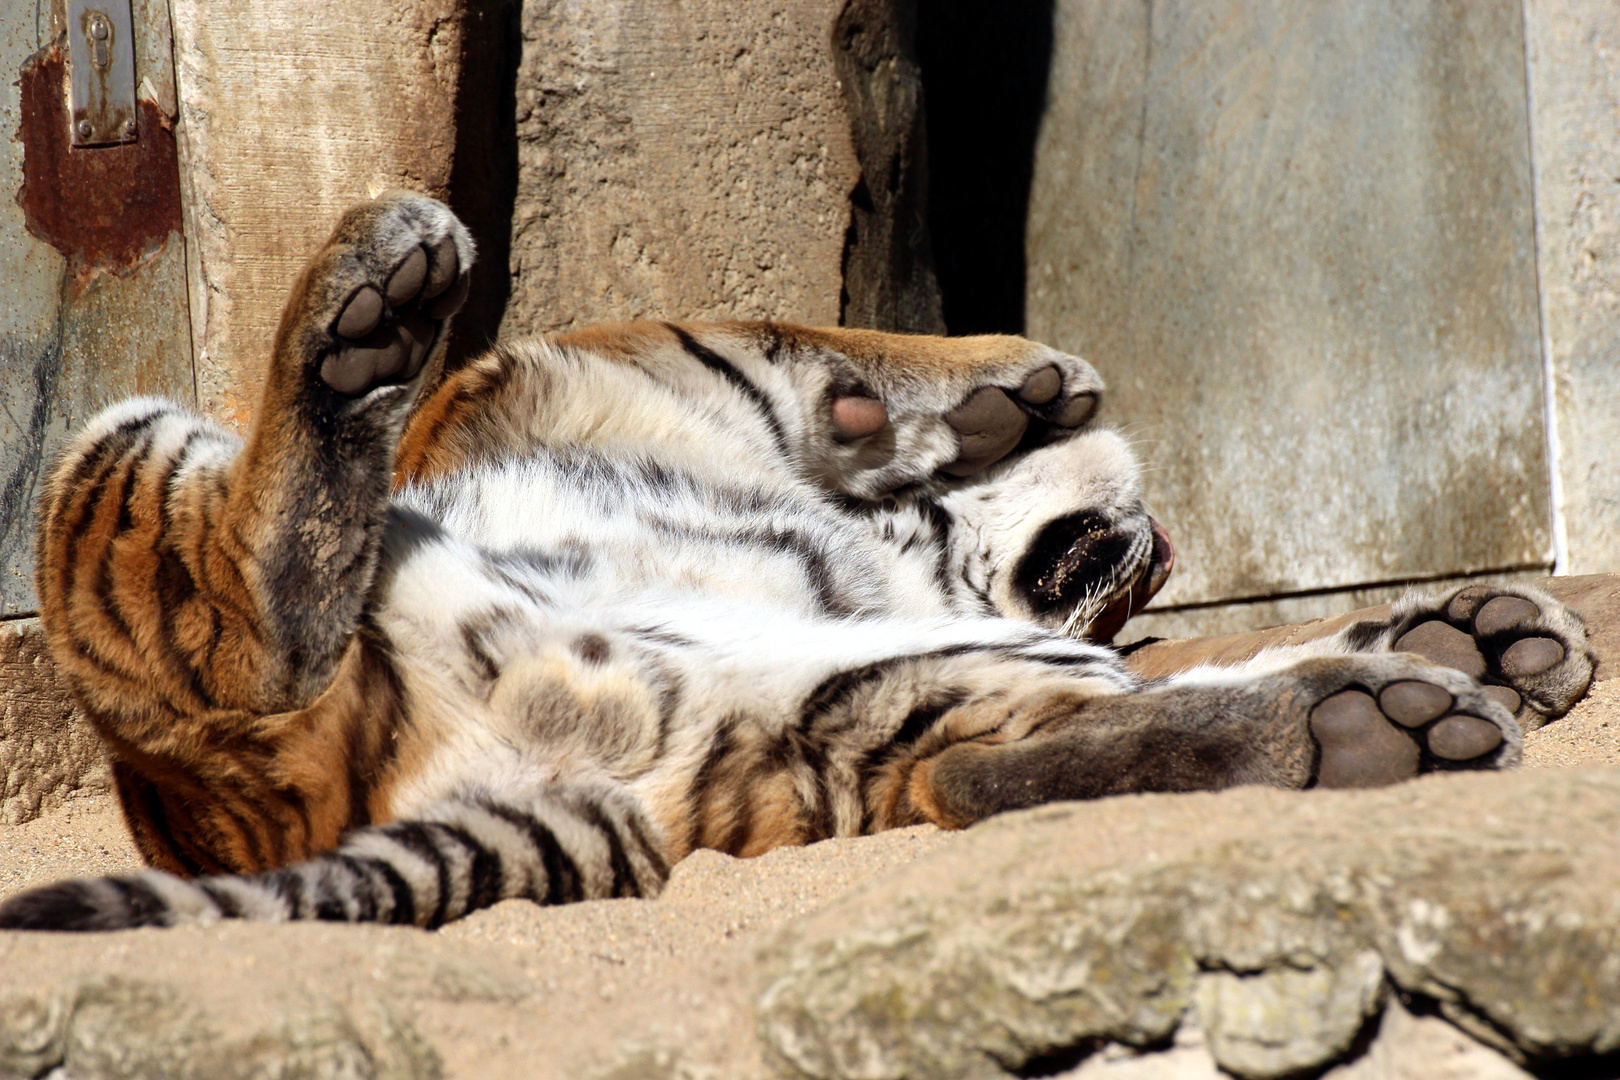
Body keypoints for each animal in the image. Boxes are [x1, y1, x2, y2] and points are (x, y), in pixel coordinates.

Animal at [0, 191, 1594, 932]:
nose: (1163, 544)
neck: (893, 542)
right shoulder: (573, 370)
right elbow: (771, 324)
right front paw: (1017, 390)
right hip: (122, 443)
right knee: (261, 606)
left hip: (845, 709)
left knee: (993, 767)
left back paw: (1399, 704)